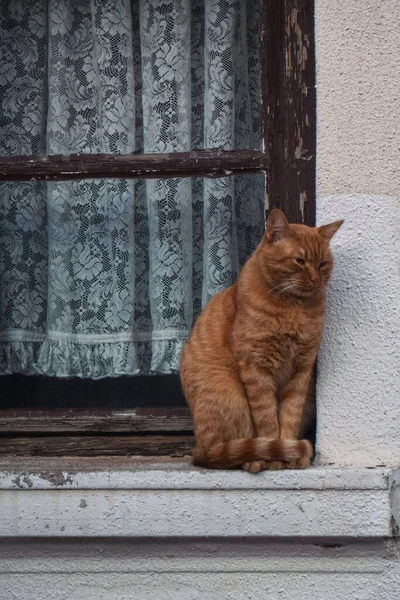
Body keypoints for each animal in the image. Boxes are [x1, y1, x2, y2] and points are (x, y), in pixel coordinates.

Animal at [180, 211, 342, 474]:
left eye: (322, 264)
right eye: (300, 261)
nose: (316, 279)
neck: (294, 308)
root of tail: (198, 448)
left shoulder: (301, 371)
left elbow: (290, 415)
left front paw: (291, 453)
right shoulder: (257, 368)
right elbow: (267, 420)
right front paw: (277, 456)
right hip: (232, 397)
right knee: (229, 451)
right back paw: (254, 459)